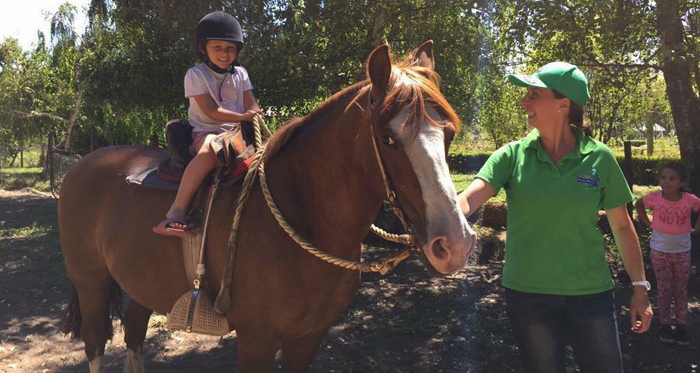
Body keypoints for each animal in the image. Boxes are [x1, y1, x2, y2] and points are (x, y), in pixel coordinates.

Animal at [60, 41, 476, 372]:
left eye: (449, 134)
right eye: (388, 138)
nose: (454, 244)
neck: (302, 216)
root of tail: (80, 164)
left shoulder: (308, 337)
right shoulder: (256, 339)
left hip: (138, 283)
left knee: (133, 334)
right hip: (90, 281)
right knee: (96, 344)